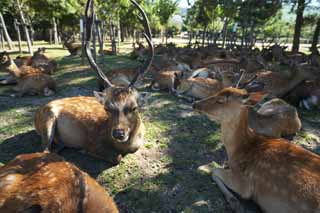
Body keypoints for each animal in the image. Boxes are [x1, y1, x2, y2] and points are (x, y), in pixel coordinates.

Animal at [33, 0, 154, 165]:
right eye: (107, 108)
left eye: (134, 107)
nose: (119, 133)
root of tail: (36, 113)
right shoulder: (92, 140)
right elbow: (116, 158)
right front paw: (85, 151)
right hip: (47, 119)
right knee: (44, 150)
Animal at [192, 87, 320, 213]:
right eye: (217, 91)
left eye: (220, 100)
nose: (195, 104)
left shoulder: (243, 183)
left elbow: (214, 171)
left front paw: (234, 202)